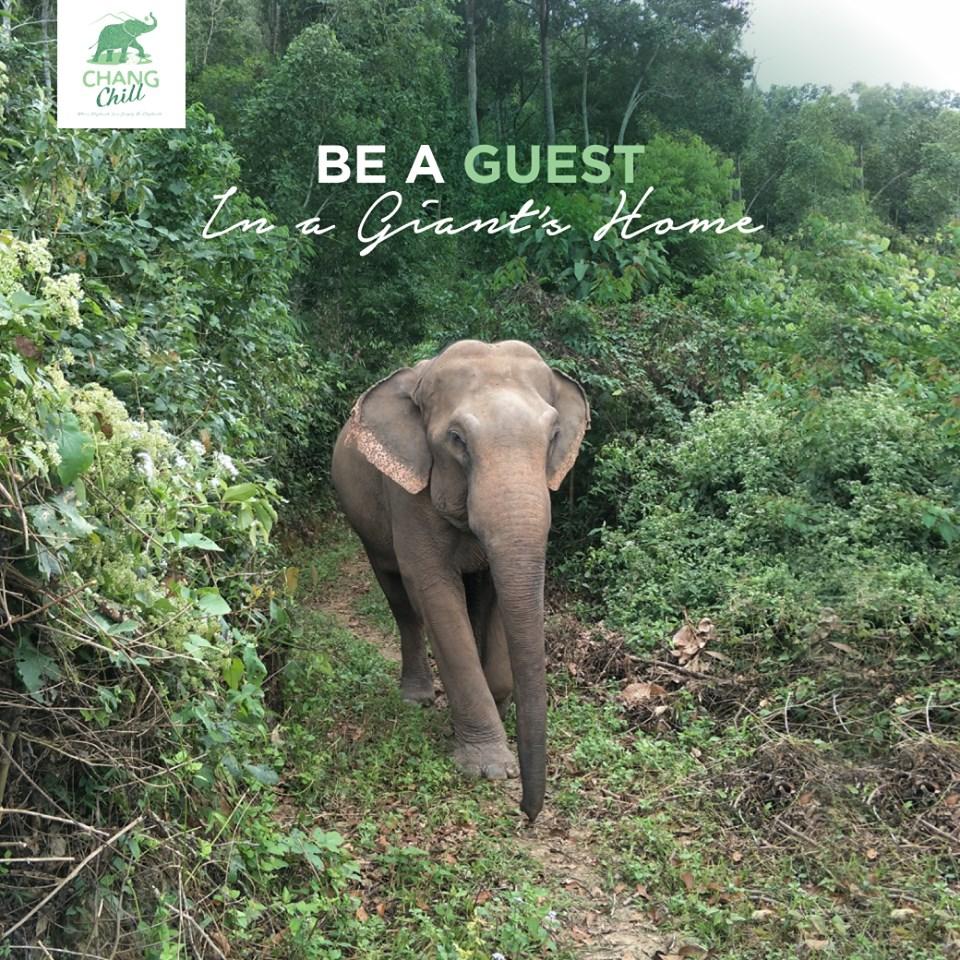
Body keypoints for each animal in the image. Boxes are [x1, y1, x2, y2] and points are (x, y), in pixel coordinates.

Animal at [331, 340, 589, 821]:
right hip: (365, 523)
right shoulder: (408, 493)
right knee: (399, 597)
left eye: (552, 436)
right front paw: (490, 768)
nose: (527, 813)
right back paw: (416, 697)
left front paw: (502, 706)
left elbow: (498, 594)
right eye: (457, 440)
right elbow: (434, 592)